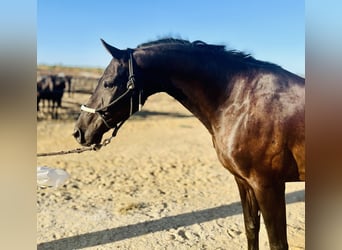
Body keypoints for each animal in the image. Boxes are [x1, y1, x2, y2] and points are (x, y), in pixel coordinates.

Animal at [73, 38, 304, 249]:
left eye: (108, 83)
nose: (79, 131)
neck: (241, 101)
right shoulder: (244, 182)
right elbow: (251, 229)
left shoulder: (268, 186)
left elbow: (278, 243)